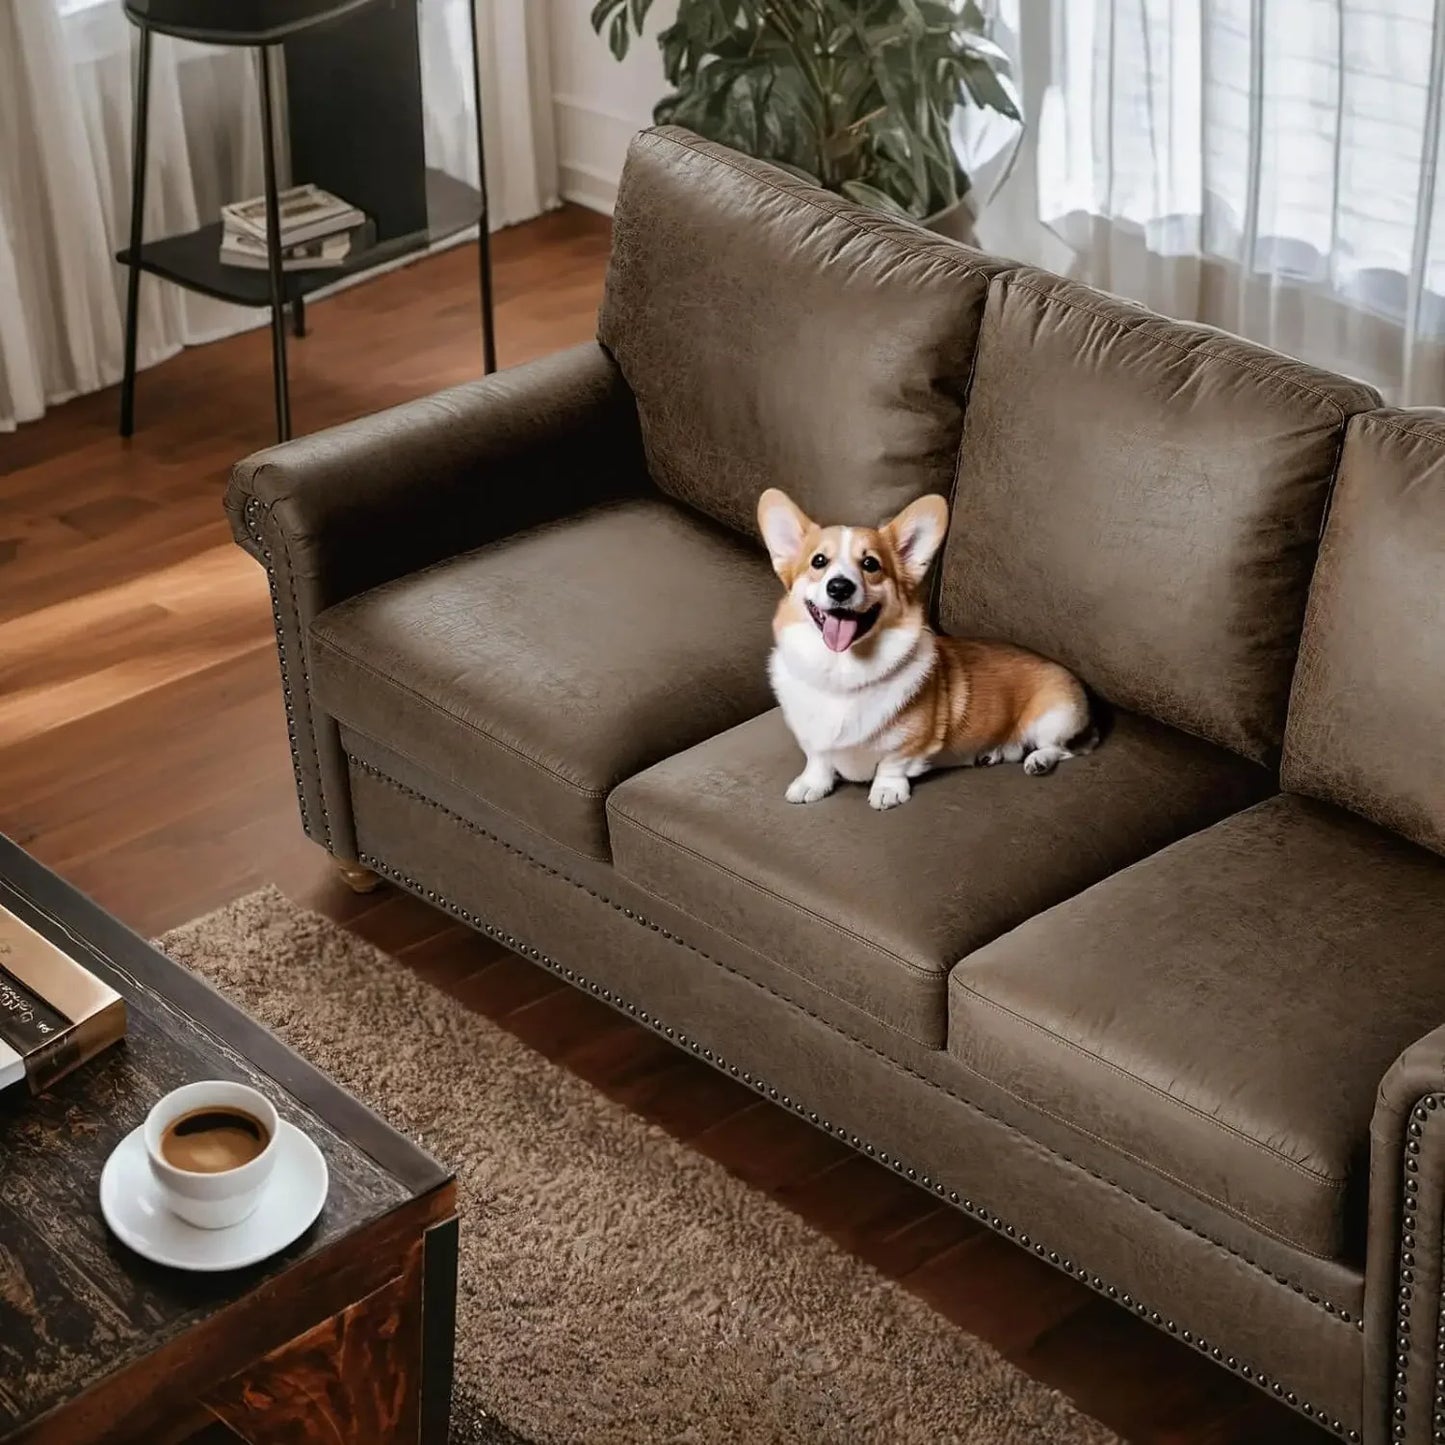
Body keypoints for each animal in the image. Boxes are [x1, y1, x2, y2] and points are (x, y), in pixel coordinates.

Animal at [757, 488, 1092, 814]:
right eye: (818, 561)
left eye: (870, 564)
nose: (840, 587)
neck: (842, 672)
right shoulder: (813, 740)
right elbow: (818, 760)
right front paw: (811, 784)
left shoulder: (910, 744)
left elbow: (892, 763)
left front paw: (887, 790)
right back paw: (993, 753)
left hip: (1053, 718)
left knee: (1060, 749)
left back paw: (1038, 761)